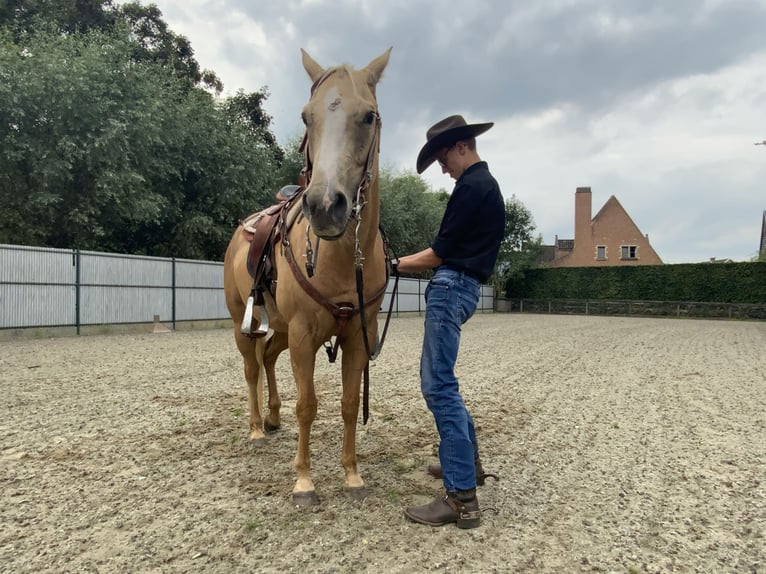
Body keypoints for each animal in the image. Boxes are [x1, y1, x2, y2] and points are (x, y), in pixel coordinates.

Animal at [220, 49, 390, 508]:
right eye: (305, 116)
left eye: (369, 116)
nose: (325, 206)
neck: (338, 260)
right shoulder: (303, 334)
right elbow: (308, 405)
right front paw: (304, 482)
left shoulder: (356, 336)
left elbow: (349, 403)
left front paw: (352, 476)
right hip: (245, 324)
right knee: (251, 367)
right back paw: (257, 428)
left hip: (279, 329)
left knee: (267, 358)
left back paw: (273, 417)